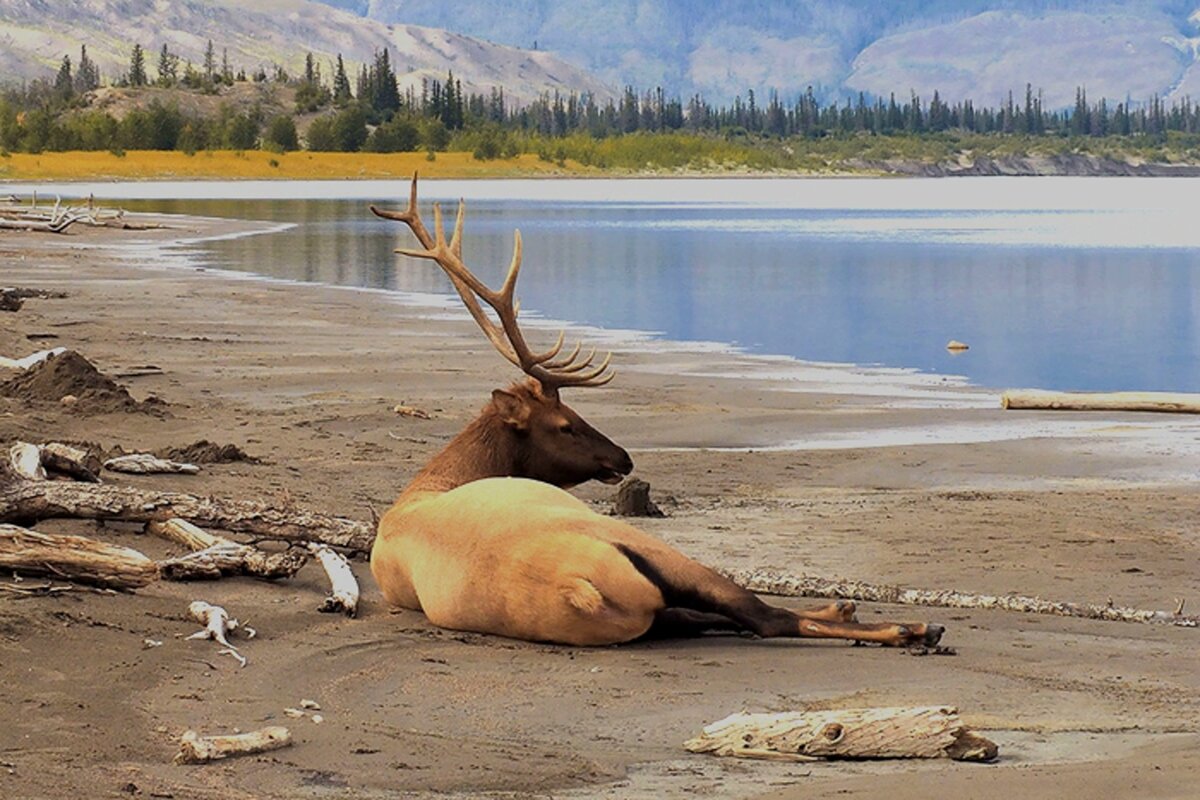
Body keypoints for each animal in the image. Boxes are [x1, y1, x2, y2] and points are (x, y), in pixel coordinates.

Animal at [369, 176, 940, 652]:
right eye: (566, 424)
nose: (622, 457)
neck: (437, 480)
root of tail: (580, 587)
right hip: (650, 549)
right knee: (760, 615)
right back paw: (909, 628)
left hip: (646, 612)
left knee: (723, 617)